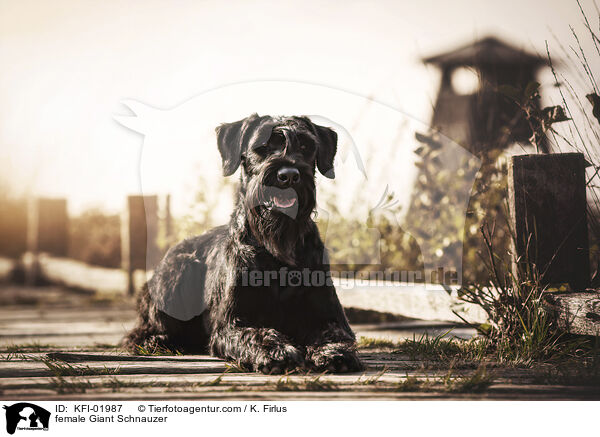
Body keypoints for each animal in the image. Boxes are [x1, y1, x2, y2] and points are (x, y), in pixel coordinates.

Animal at [123, 112, 360, 372]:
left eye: (306, 146)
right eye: (262, 147)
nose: (288, 175)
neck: (277, 250)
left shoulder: (329, 316)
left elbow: (333, 333)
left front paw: (333, 351)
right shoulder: (231, 324)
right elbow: (256, 334)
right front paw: (276, 351)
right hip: (176, 274)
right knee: (139, 332)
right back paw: (157, 340)